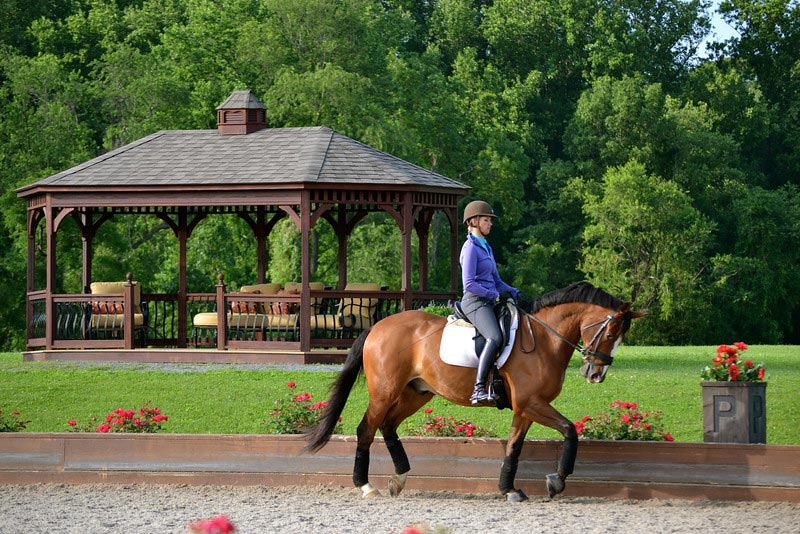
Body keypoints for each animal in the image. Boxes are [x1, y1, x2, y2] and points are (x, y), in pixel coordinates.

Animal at [304, 284, 648, 502]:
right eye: (611, 333)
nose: (596, 374)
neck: (543, 340)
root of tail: (377, 326)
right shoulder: (531, 403)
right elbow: (570, 430)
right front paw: (557, 480)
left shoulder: (525, 407)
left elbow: (514, 446)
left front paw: (509, 488)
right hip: (385, 392)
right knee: (367, 429)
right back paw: (365, 486)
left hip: (417, 393)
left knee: (388, 426)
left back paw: (399, 479)